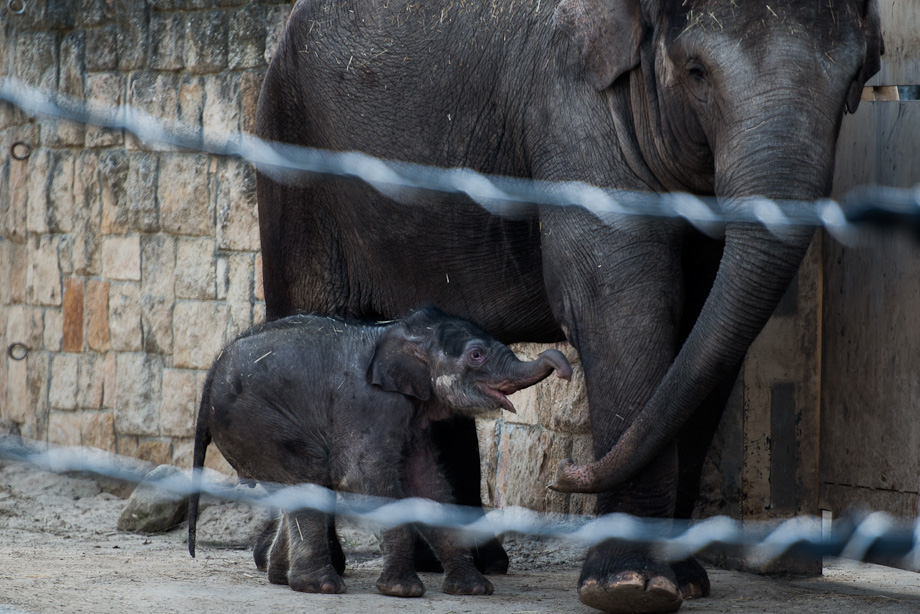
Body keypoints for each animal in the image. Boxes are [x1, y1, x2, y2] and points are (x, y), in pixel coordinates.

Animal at [188, 306, 572, 600]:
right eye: (476, 355)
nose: (566, 371)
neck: (400, 332)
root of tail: (210, 374)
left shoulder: (411, 414)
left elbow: (428, 484)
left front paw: (475, 589)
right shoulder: (368, 405)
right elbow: (362, 477)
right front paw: (403, 591)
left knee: (297, 485)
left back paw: (282, 578)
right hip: (254, 422)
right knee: (309, 474)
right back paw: (320, 586)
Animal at [255, 2, 880, 612]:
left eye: (855, 79)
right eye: (697, 72)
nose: (563, 476)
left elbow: (705, 328)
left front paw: (684, 582)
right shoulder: (571, 107)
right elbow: (621, 305)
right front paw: (630, 587)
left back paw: (465, 562)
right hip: (295, 154)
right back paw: (308, 569)